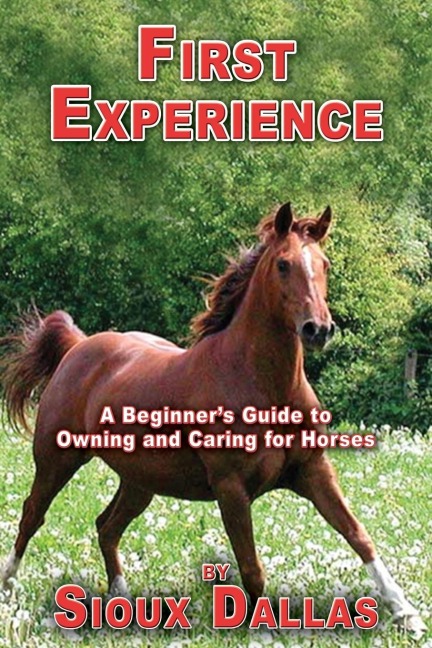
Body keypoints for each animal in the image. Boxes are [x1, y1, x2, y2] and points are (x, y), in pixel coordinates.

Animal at [0, 203, 425, 635]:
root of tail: (79, 346)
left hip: (140, 481)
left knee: (107, 526)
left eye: (324, 264)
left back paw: (122, 604)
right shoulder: (231, 488)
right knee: (32, 515)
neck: (263, 385)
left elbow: (359, 535)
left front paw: (406, 613)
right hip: (57, 460)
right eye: (284, 264)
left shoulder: (314, 472)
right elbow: (252, 567)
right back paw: (9, 589)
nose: (318, 329)